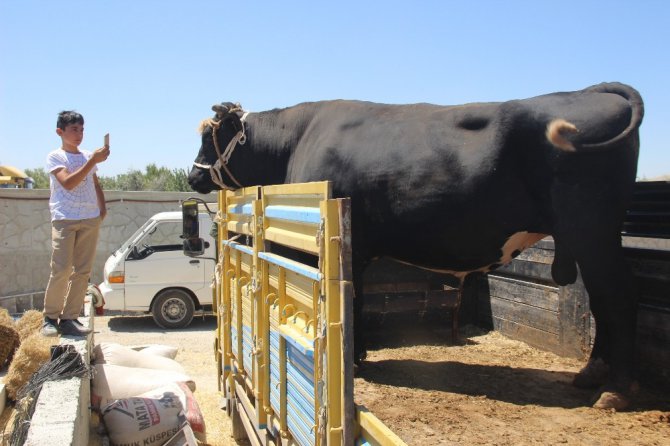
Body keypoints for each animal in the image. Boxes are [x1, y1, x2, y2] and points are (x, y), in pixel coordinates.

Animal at [188, 82, 644, 410]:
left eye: (209, 140)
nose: (192, 176)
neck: (298, 140)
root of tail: (591, 91)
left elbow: (348, 300)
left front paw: (354, 360)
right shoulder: (360, 247)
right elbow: (355, 299)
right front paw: (359, 354)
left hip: (591, 229)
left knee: (618, 298)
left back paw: (616, 391)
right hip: (592, 235)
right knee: (603, 300)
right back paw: (591, 375)